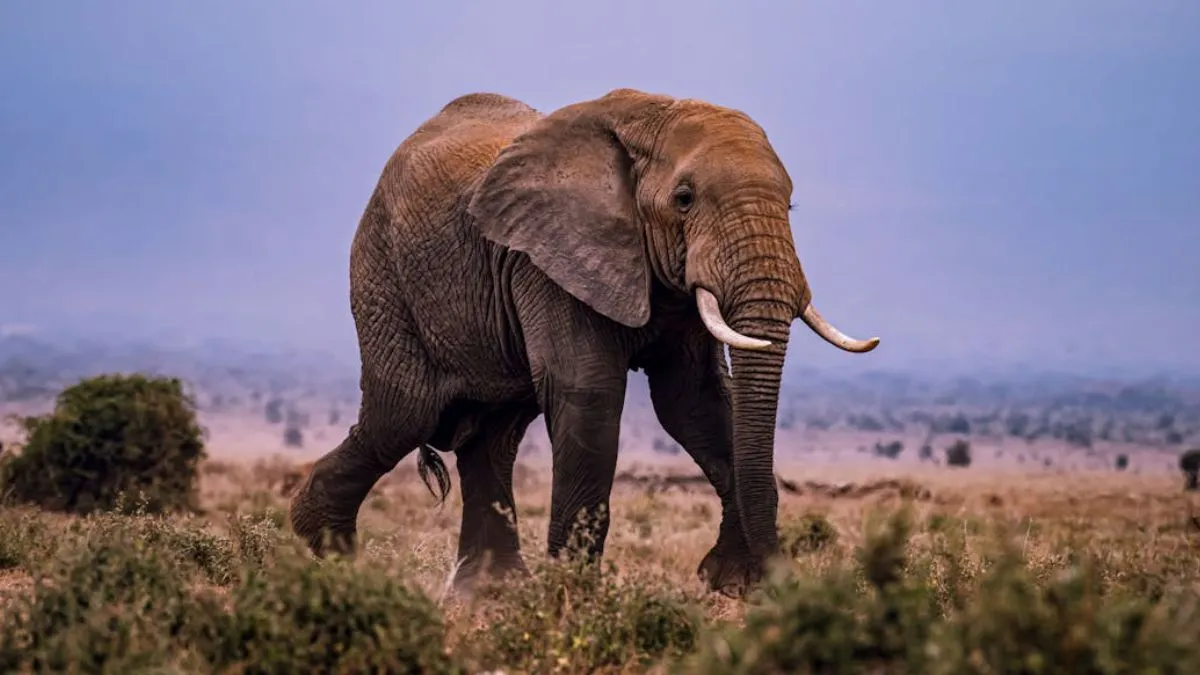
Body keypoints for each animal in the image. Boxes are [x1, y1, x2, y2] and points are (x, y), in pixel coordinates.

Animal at [288, 88, 880, 595]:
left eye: (791, 205)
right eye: (684, 199)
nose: (784, 584)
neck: (653, 117)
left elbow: (697, 403)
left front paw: (733, 585)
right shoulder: (548, 259)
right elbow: (590, 395)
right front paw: (572, 603)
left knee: (492, 437)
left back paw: (489, 597)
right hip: (383, 274)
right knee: (405, 413)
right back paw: (324, 549)